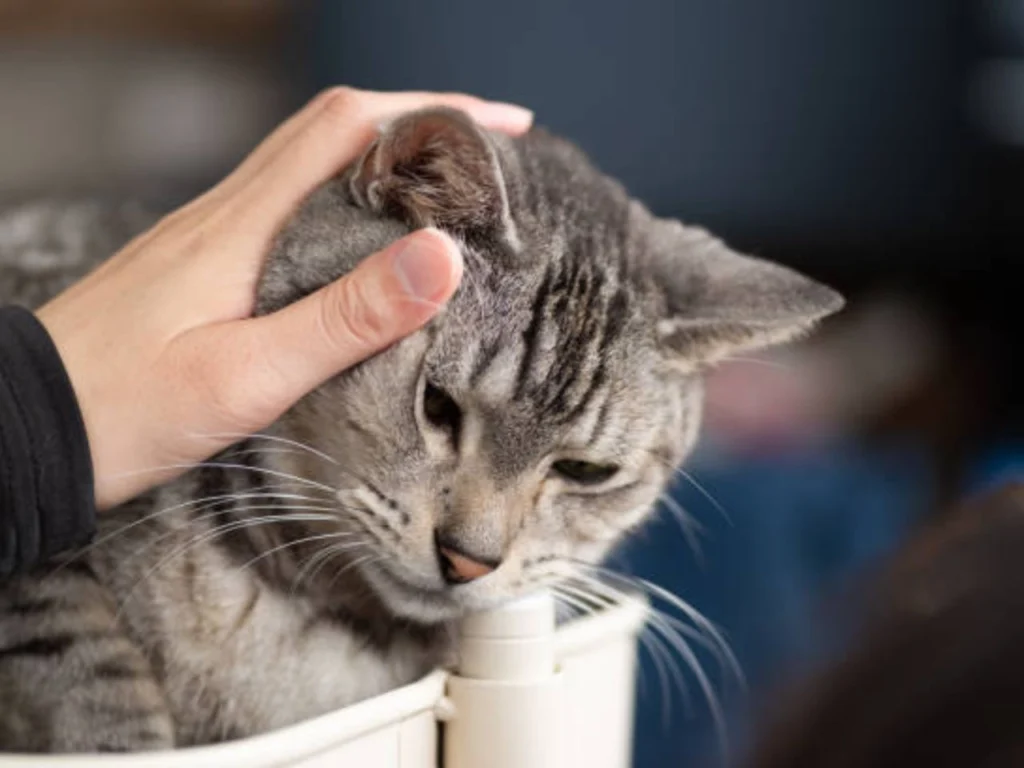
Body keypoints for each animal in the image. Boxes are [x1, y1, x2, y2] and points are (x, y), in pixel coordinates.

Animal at [0, 105, 839, 753]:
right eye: (437, 405)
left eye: (586, 472)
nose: (469, 559)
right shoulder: (44, 584)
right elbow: (80, 660)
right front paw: (121, 740)